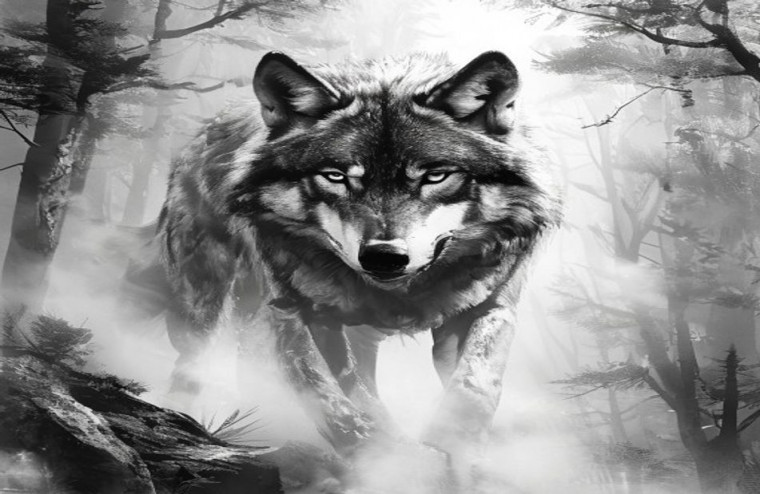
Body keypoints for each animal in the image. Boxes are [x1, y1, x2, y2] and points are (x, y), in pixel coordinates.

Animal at [122, 50, 561, 470]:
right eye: (335, 176)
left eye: (435, 176)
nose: (384, 257)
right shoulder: (294, 310)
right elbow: (325, 392)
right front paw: (381, 457)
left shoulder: (489, 307)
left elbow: (473, 388)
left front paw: (454, 453)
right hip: (203, 304)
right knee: (195, 362)